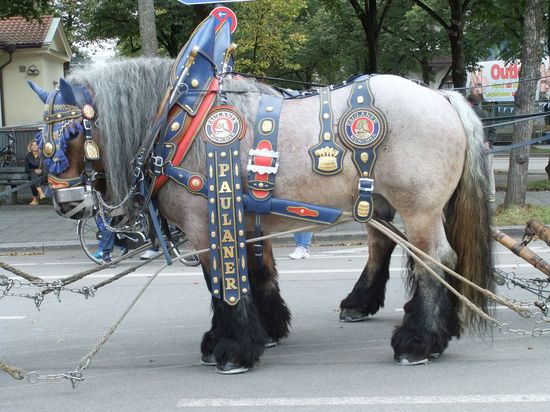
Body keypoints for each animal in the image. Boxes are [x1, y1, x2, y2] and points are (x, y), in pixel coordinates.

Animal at [29, 55, 496, 374]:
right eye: (40, 141)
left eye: (72, 135)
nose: (66, 202)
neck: (178, 122)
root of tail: (442, 95)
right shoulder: (246, 217)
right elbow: (258, 274)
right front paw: (267, 330)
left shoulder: (205, 226)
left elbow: (222, 284)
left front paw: (232, 347)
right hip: (379, 204)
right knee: (389, 246)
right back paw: (378, 309)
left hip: (420, 208)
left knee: (435, 259)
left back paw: (419, 341)